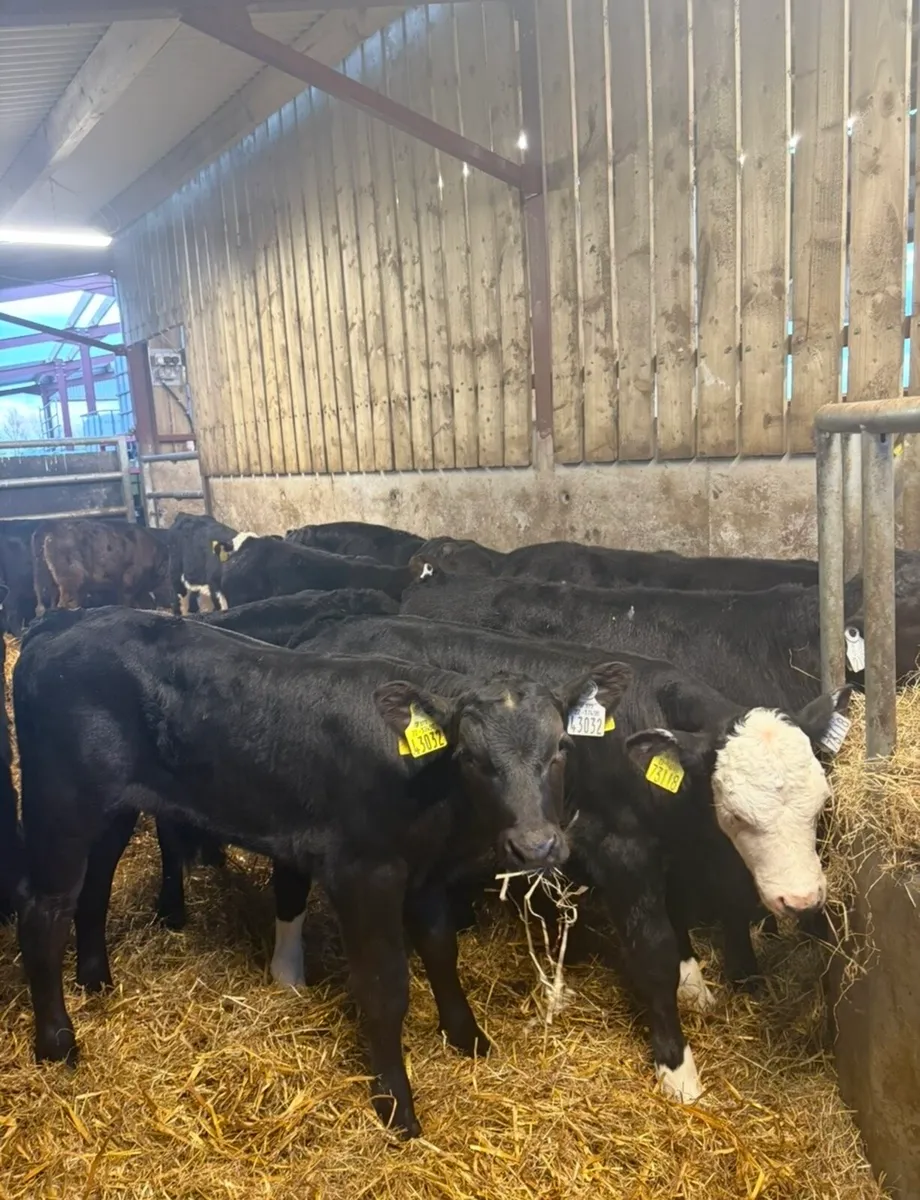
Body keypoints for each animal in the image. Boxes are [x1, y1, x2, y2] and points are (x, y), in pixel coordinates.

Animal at [13, 605, 630, 1136]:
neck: (429, 791)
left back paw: (96, 980)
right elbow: (384, 986)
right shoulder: (364, 873)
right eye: (472, 757)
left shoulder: (425, 873)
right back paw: (58, 1043)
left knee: (91, 889)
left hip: (111, 807)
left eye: (561, 746)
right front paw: (397, 1107)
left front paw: (467, 1037)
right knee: (43, 910)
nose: (536, 846)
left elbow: (440, 950)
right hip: (59, 803)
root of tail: (58, 628)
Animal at [32, 519, 173, 613]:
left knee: (45, 602)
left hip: (43, 576)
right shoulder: (130, 578)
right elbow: (127, 598)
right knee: (66, 599)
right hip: (70, 574)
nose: (171, 602)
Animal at [289, 612, 851, 1102]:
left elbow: (677, 915)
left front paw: (694, 982)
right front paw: (678, 1070)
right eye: (734, 813)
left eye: (821, 802)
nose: (801, 899)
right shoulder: (621, 850)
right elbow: (652, 952)